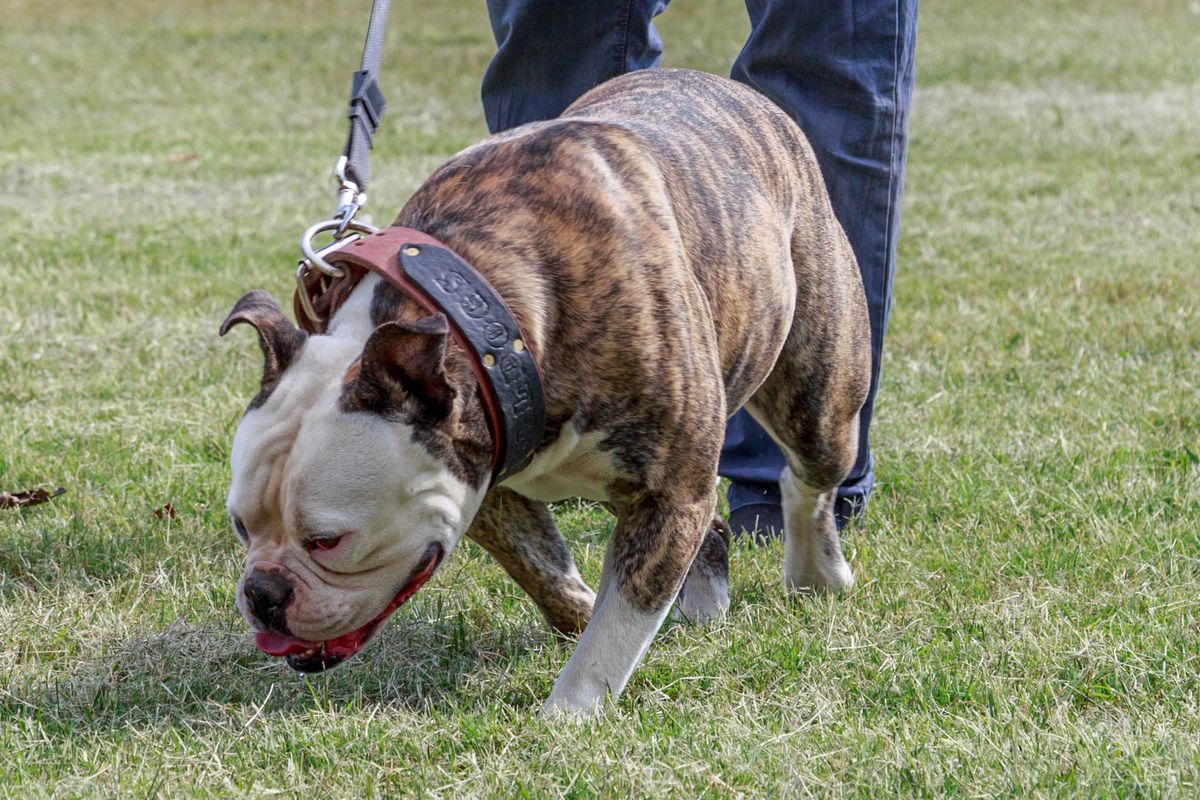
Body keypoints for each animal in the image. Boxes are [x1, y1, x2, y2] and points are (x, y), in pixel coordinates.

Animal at [220, 68, 868, 714]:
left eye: (328, 541)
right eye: (241, 527)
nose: (263, 594)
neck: (486, 316)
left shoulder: (666, 496)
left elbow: (617, 623)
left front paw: (570, 712)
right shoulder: (484, 480)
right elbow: (545, 573)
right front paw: (578, 615)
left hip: (818, 395)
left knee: (808, 475)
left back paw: (816, 573)